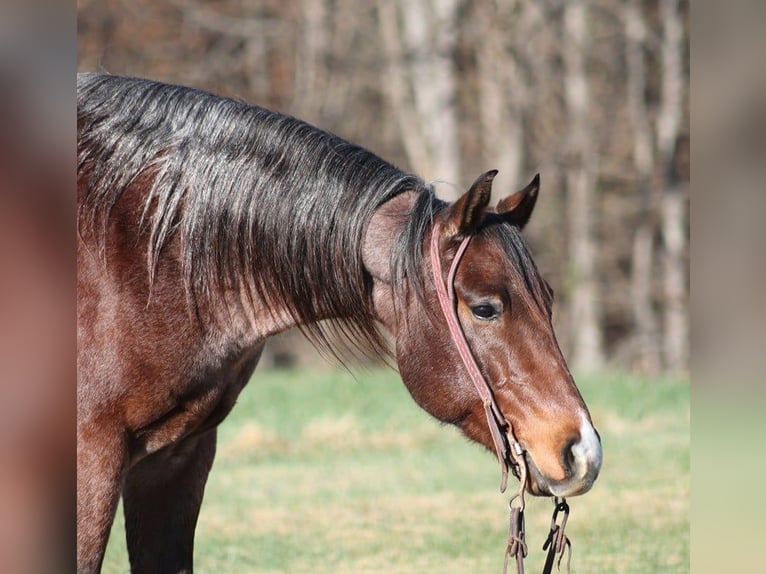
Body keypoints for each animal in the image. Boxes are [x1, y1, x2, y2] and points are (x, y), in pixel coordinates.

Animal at [79, 74, 608, 572]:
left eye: (548, 299)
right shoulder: (94, 460)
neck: (147, 259)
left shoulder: (178, 460)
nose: (583, 452)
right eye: (484, 308)